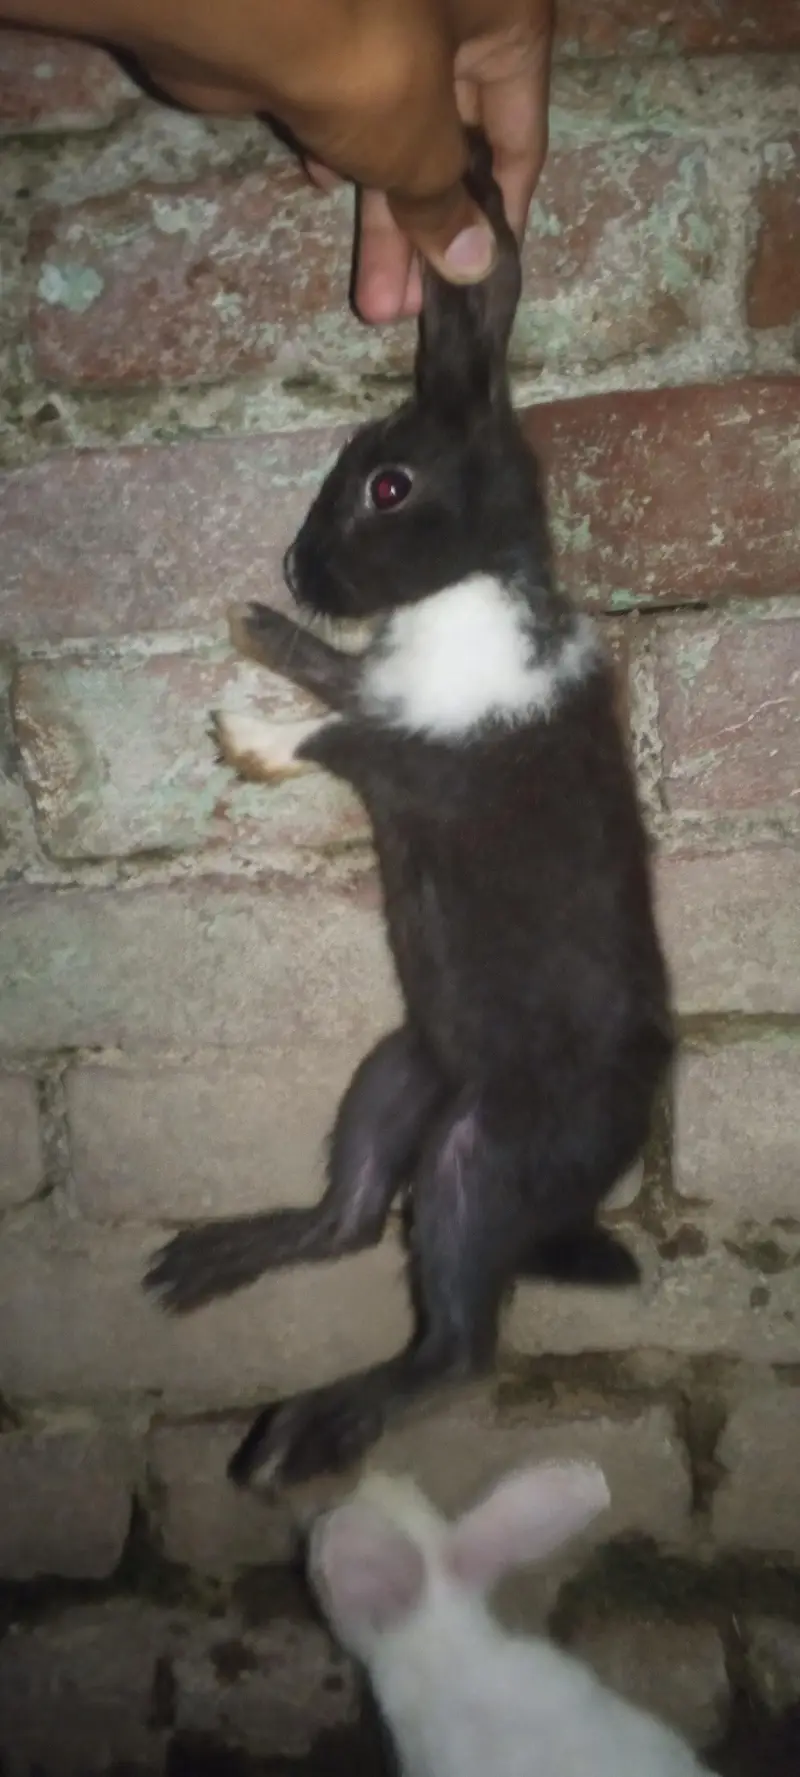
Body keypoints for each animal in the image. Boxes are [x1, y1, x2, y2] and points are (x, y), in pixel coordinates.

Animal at [144, 130, 673, 1489]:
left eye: (387, 484)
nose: (294, 568)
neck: (468, 586)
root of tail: (574, 1200)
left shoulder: (415, 752)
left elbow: (336, 722)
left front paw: (247, 726)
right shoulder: (391, 696)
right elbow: (337, 674)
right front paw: (258, 633)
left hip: (473, 1161)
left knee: (454, 1346)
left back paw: (304, 1435)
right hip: (389, 1078)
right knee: (342, 1219)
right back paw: (201, 1264)